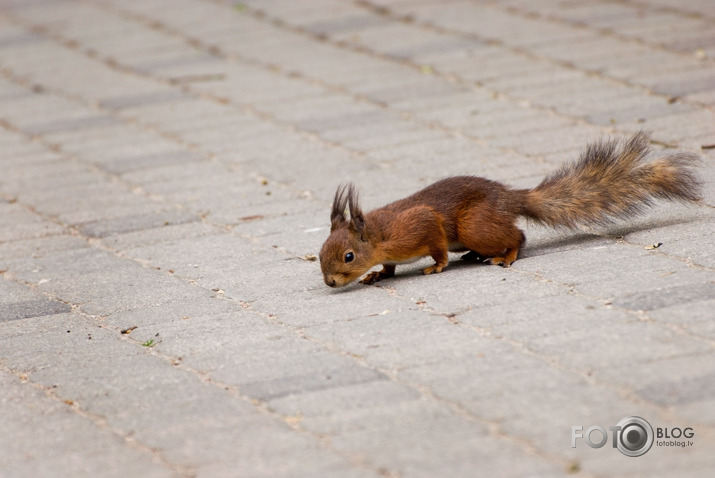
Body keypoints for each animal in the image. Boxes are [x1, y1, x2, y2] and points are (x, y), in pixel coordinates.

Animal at [320, 132, 704, 288]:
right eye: (321, 253)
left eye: (349, 256)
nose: (330, 282)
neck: (378, 234)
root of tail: (509, 198)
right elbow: (388, 266)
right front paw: (378, 275)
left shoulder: (419, 225)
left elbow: (436, 244)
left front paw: (437, 266)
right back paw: (474, 256)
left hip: (474, 225)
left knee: (517, 235)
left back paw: (504, 256)